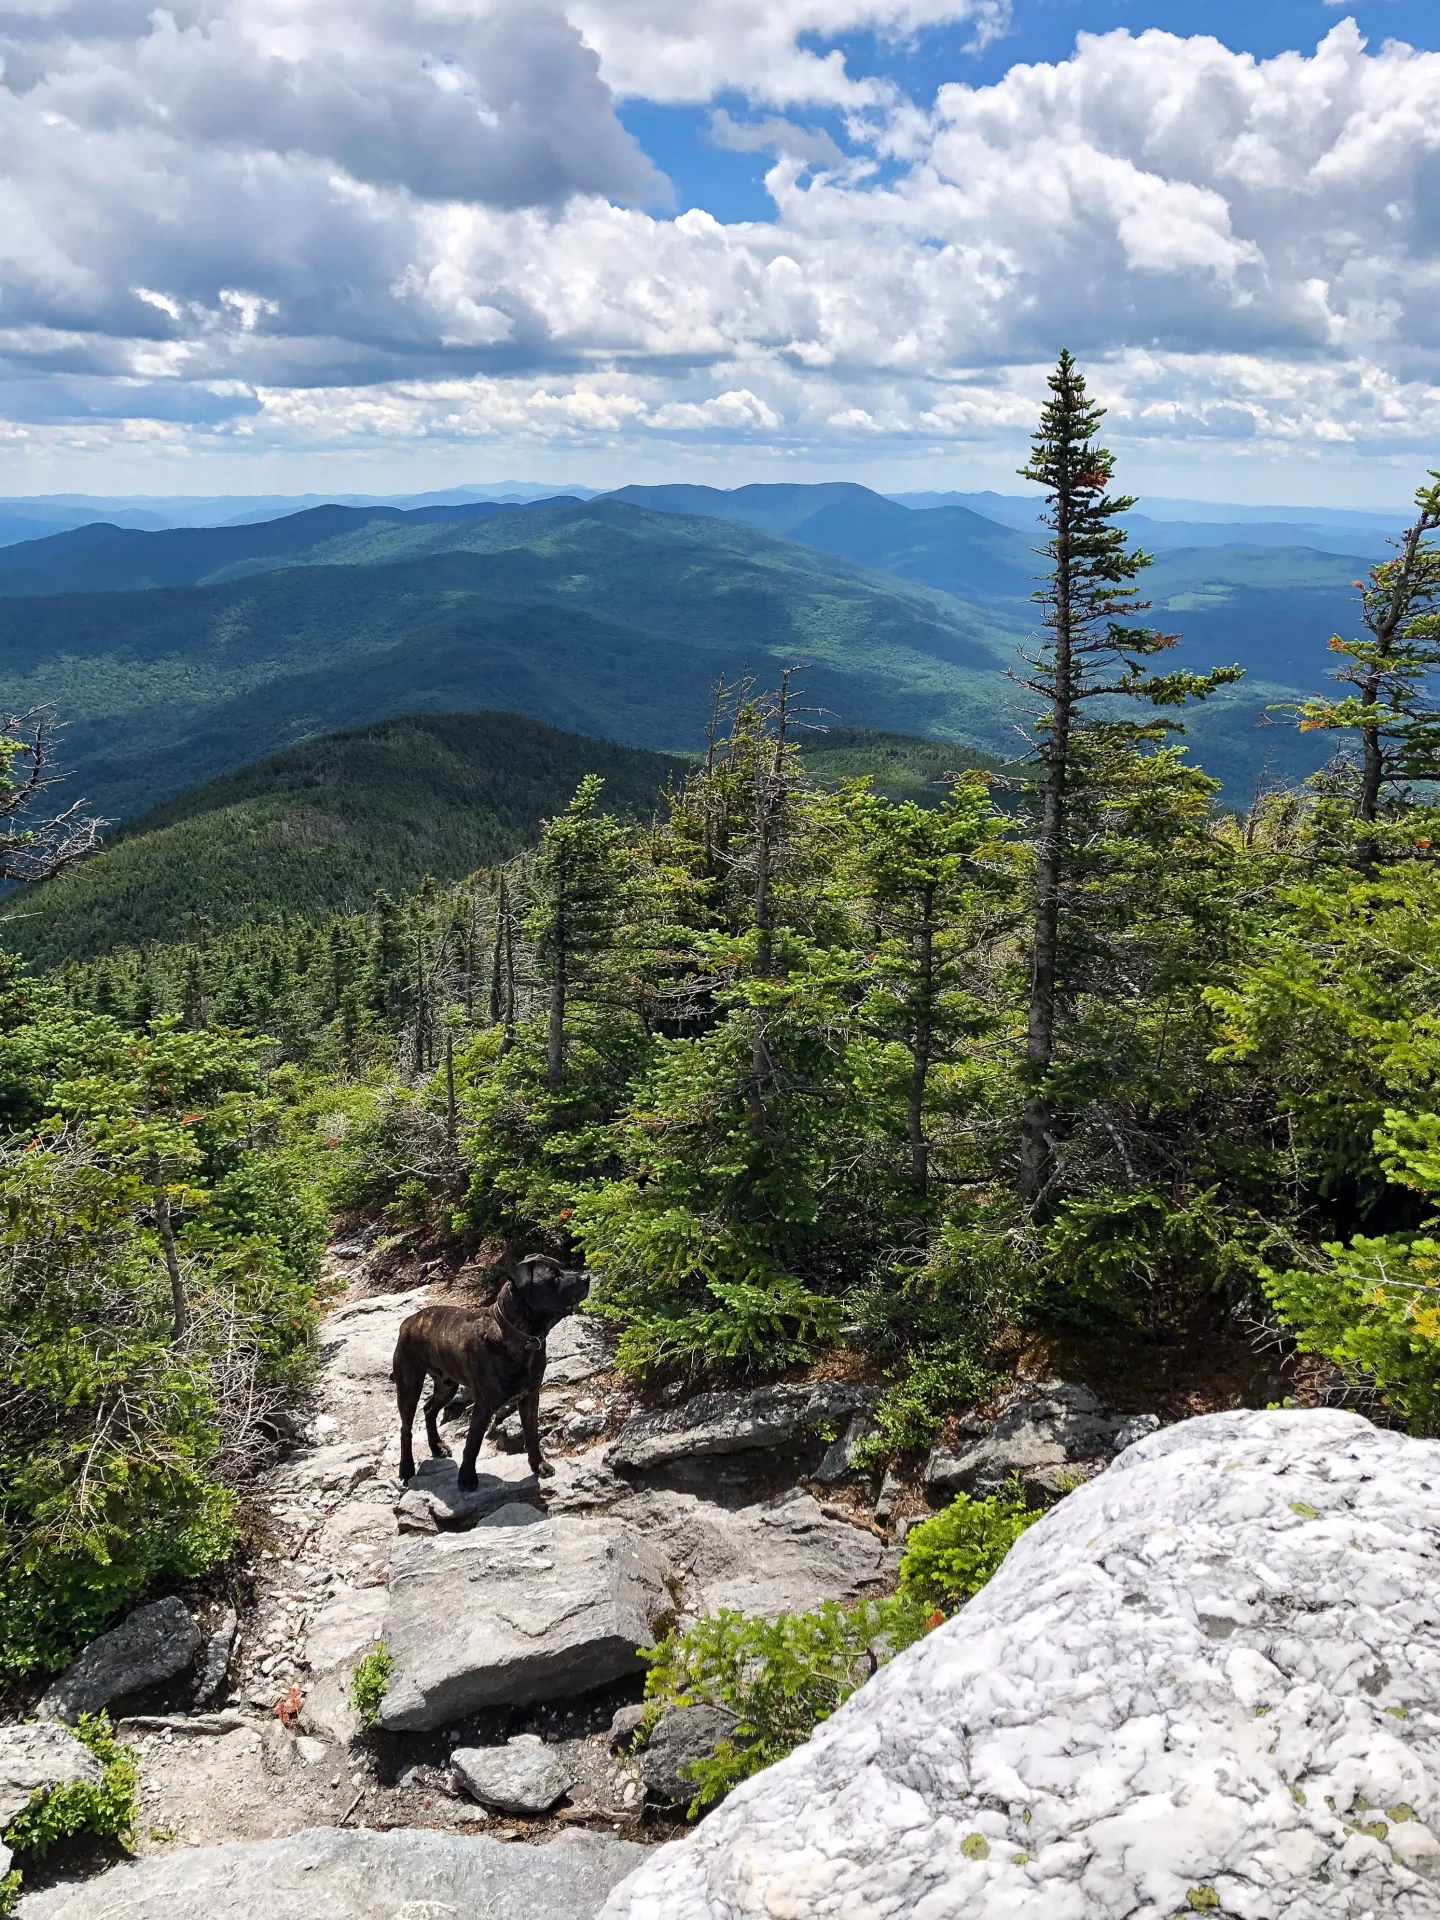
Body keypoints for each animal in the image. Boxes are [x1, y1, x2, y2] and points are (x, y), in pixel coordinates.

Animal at [391, 1251, 587, 1489]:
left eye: (564, 1268)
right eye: (554, 1277)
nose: (586, 1278)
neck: (520, 1336)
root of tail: (408, 1322)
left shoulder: (530, 1397)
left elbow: (532, 1435)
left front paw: (539, 1466)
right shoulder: (484, 1405)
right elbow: (472, 1444)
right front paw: (466, 1479)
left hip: (447, 1386)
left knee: (429, 1410)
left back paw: (437, 1446)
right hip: (409, 1385)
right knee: (405, 1428)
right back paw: (406, 1468)